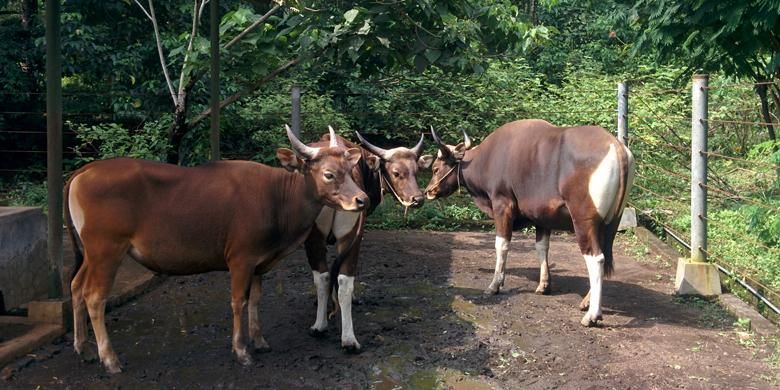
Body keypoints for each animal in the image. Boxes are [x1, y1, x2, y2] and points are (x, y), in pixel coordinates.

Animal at [65, 126, 368, 374]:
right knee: (94, 297)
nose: (361, 199)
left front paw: (259, 340)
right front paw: (241, 350)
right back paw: (109, 359)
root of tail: (83, 172)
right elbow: (238, 301)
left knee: (76, 286)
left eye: (349, 169)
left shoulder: (259, 263)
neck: (277, 197)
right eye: (329, 174)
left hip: (89, 253)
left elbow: (256, 299)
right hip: (106, 250)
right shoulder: (240, 259)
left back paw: (83, 348)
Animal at [426, 120, 632, 328]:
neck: (488, 158)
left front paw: (495, 284)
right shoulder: (542, 217)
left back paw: (592, 315)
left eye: (435, 169)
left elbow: (501, 245)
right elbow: (542, 247)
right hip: (610, 224)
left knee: (596, 258)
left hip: (584, 221)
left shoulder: (502, 206)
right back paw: (587, 301)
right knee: (604, 255)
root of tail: (616, 146)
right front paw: (544, 285)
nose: (428, 191)